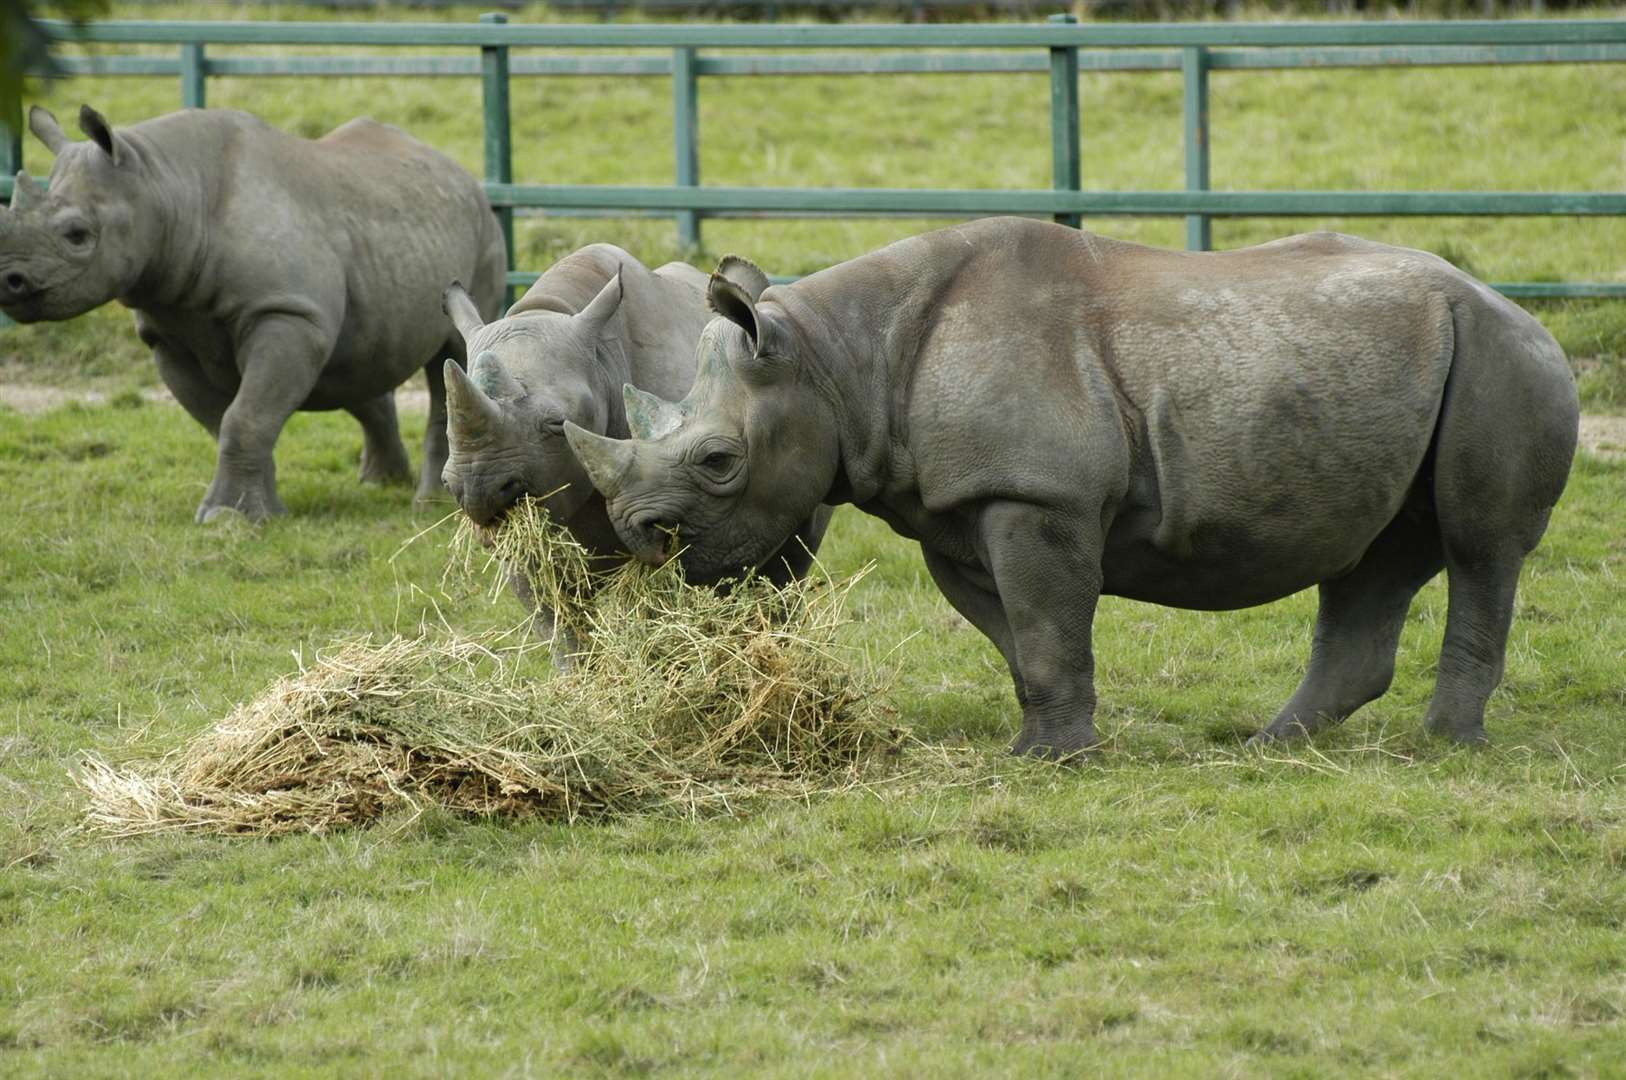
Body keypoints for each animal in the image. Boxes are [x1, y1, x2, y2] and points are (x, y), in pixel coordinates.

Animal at [0, 105, 507, 523]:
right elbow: (226, 419)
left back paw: (428, 504)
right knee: (353, 362)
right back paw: (380, 485)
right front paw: (259, 514)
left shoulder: (285, 312)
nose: (8, 280)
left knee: (449, 357)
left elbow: (244, 417)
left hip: (482, 233)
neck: (164, 186)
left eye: (77, 235)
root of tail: (464, 174)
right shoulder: (169, 331)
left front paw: (229, 519)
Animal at [569, 219, 1573, 757]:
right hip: (1410, 368)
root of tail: (1520, 310)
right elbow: (1019, 634)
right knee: (1376, 556)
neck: (834, 362)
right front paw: (1048, 743)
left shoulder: (1035, 494)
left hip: (1501, 359)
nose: (641, 533)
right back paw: (1274, 744)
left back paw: (1446, 746)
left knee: (1481, 546)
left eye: (717, 462)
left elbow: (1048, 625)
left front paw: (1052, 759)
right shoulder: (957, 504)